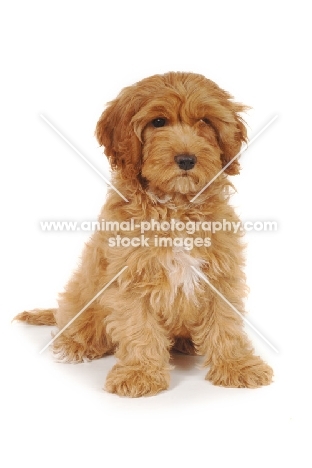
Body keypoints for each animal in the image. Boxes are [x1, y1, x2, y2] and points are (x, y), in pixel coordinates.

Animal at [15, 72, 272, 394]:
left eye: (205, 121)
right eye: (158, 122)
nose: (186, 160)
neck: (175, 207)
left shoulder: (220, 272)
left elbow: (225, 323)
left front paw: (237, 365)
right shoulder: (130, 276)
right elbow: (138, 326)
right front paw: (140, 372)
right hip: (81, 297)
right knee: (74, 320)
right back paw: (76, 344)